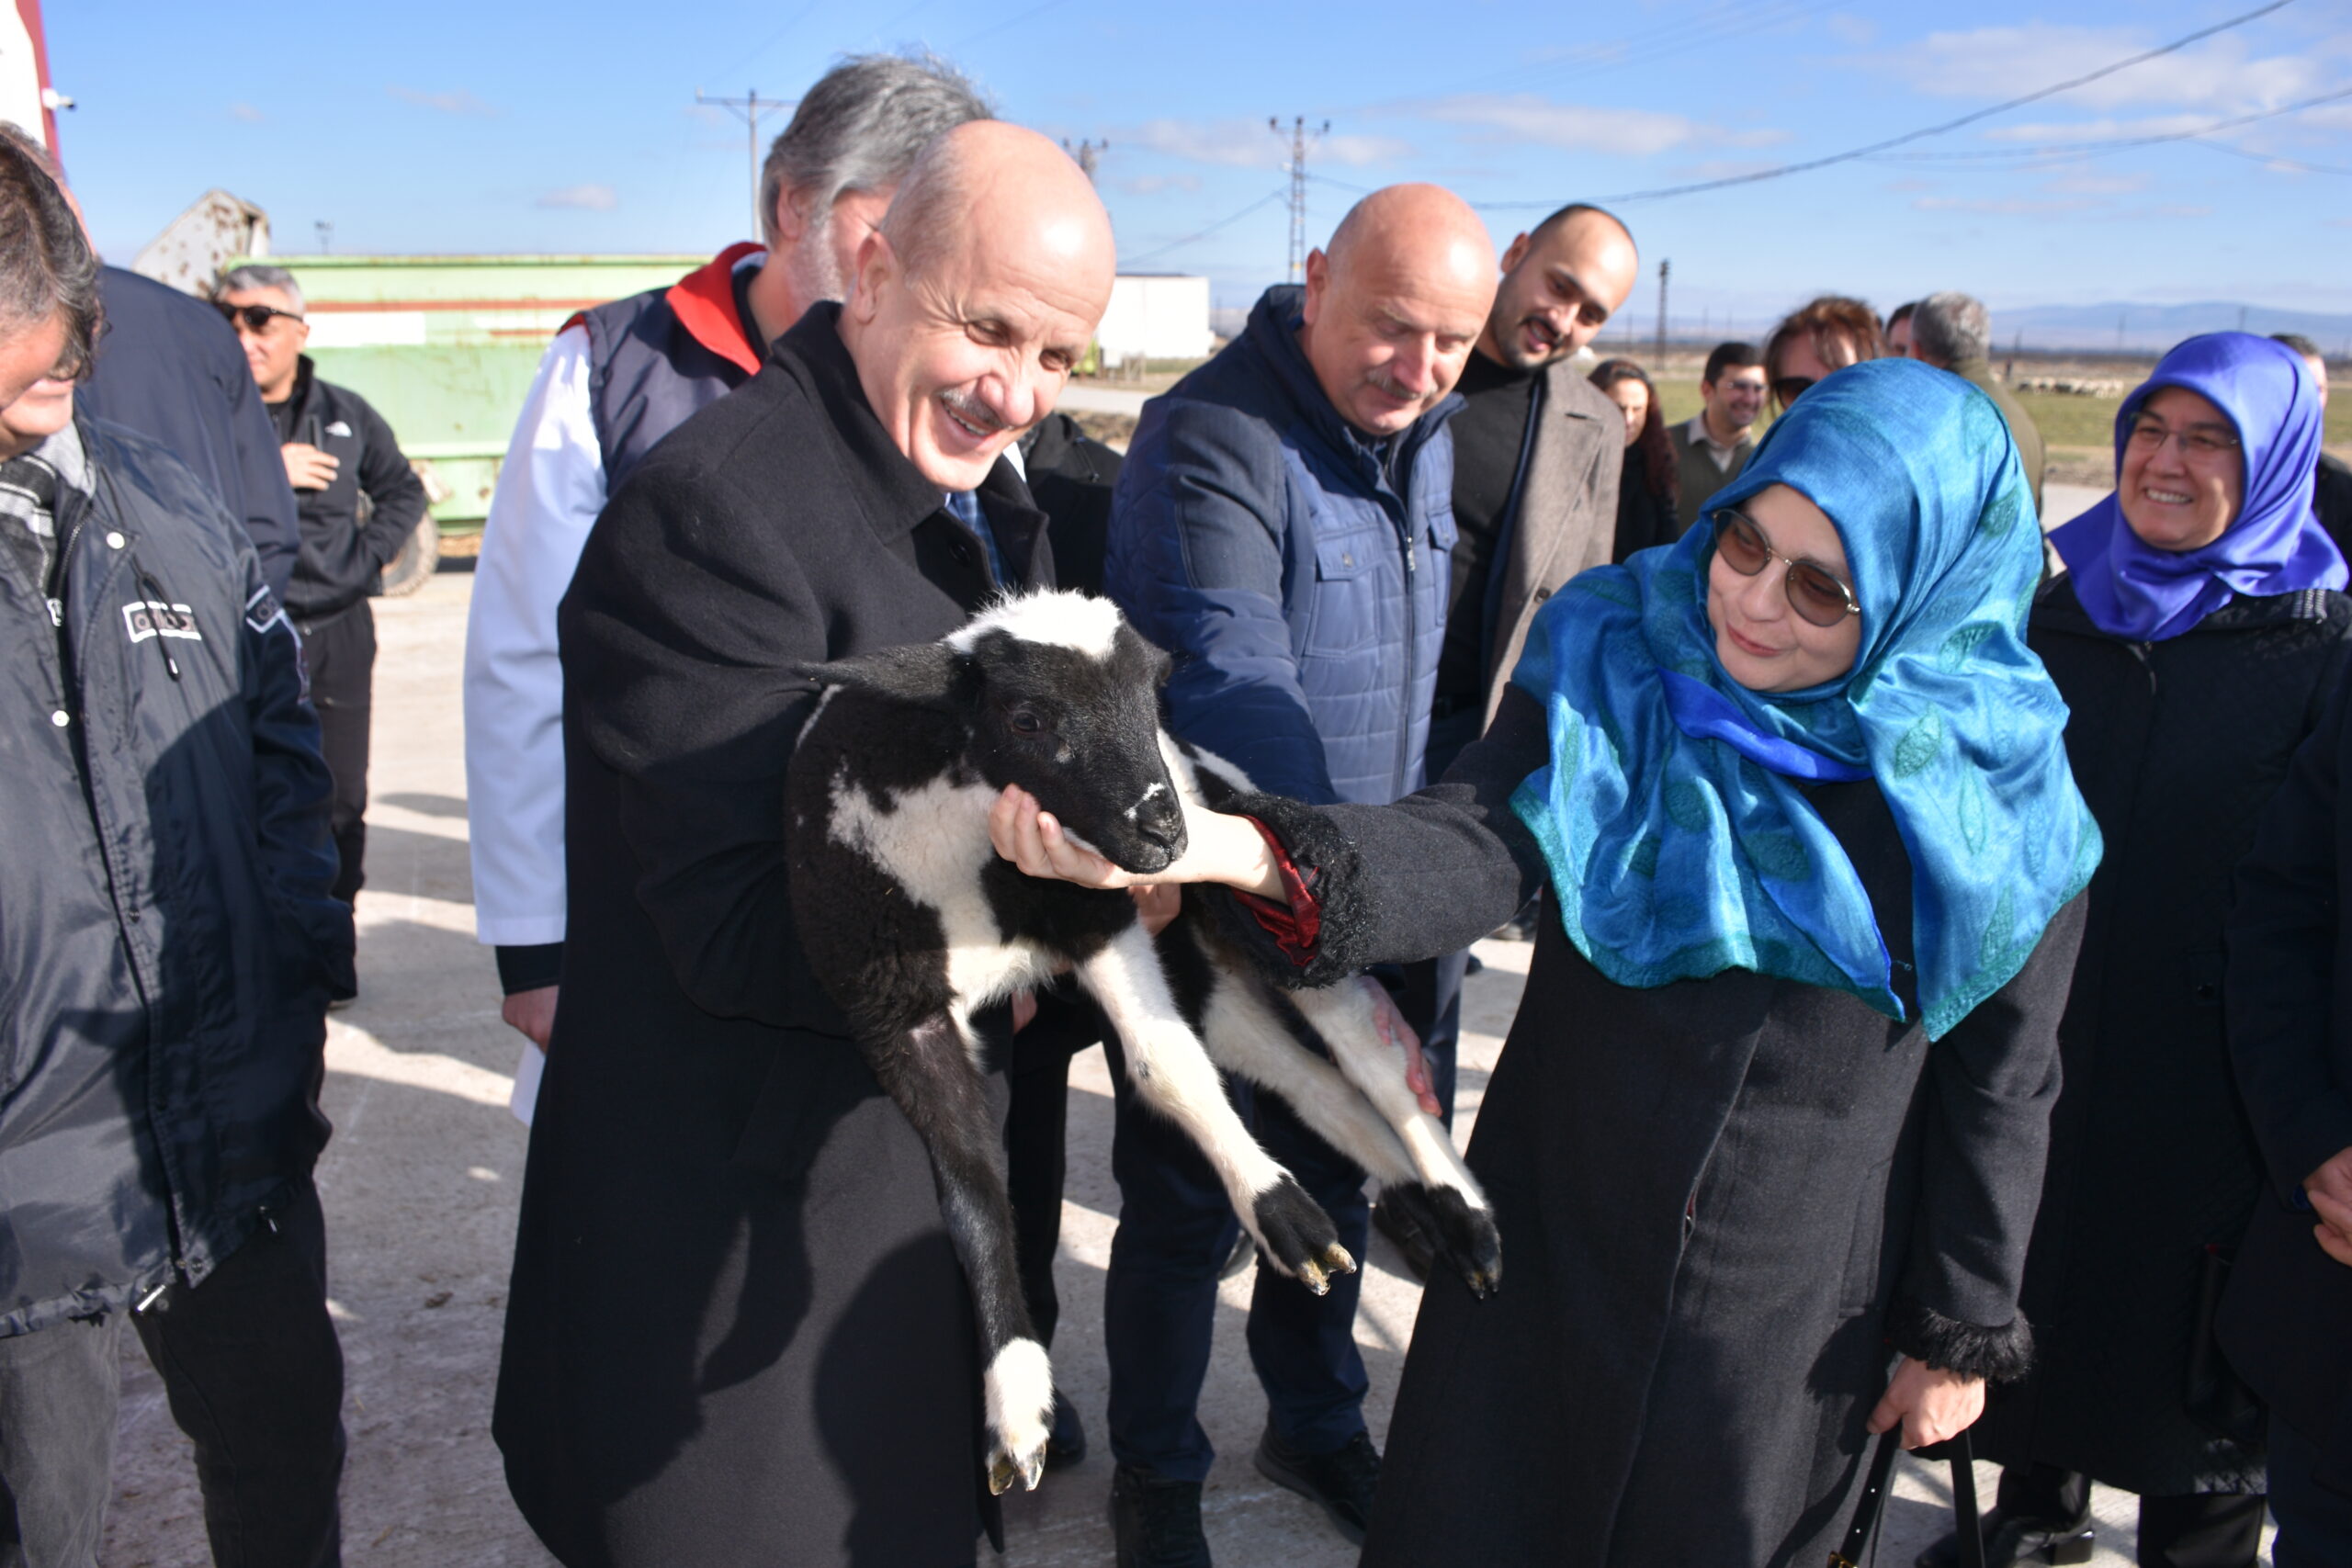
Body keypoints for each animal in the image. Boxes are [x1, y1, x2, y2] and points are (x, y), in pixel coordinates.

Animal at [780, 592, 1496, 1495]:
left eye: (1153, 694)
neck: (956, 858)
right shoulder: (893, 1012)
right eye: (1027, 716)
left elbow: (1165, 1071)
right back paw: (1419, 1203)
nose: (1165, 830)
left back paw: (1462, 1211)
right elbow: (972, 1187)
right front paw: (1017, 1405)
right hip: (1205, 972)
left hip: (1270, 913)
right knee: (1312, 1083)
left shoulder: (1097, 916)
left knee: (1370, 1059)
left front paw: (1280, 1212)